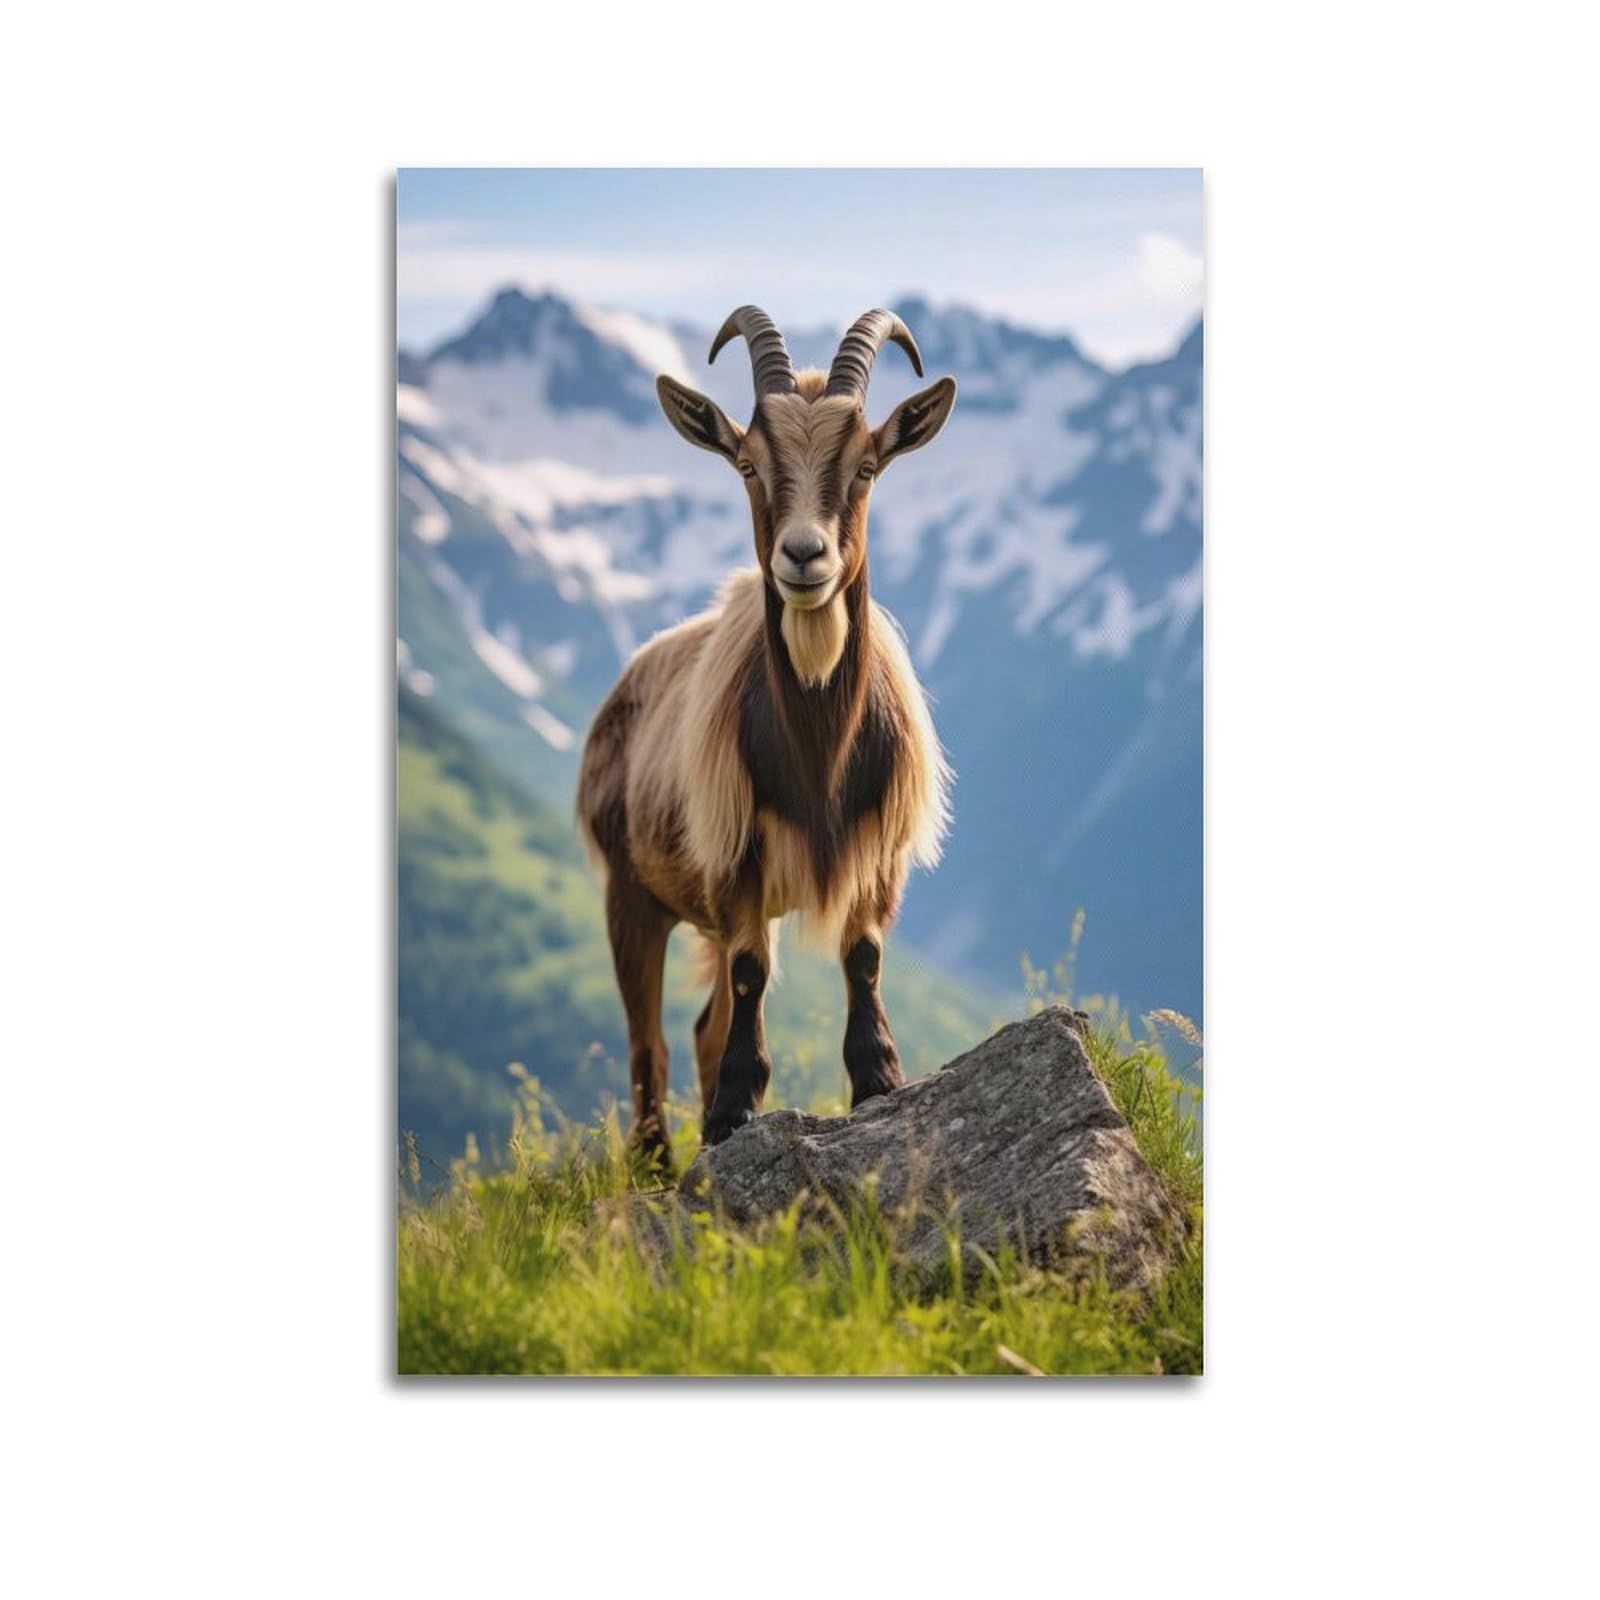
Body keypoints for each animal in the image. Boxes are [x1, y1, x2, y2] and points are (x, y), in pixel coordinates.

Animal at [577, 306, 956, 1164]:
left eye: (866, 466)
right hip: (630, 891)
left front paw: (876, 1079)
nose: (804, 556)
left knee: (699, 1024)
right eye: (748, 464)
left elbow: (863, 955)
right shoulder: (735, 854)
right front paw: (729, 1115)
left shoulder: (879, 850)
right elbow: (751, 973)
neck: (818, 758)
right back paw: (656, 1157)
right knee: (649, 1037)